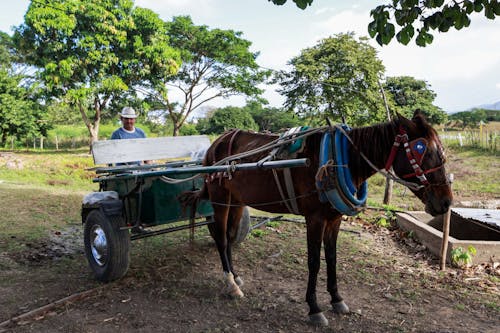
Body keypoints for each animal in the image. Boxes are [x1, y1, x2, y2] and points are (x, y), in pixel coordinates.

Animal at [181, 110, 454, 326]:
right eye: (422, 151)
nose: (446, 202)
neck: (340, 160)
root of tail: (216, 143)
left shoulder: (334, 219)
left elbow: (331, 258)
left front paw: (337, 299)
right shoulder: (314, 219)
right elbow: (314, 262)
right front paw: (314, 309)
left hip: (237, 201)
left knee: (228, 236)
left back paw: (235, 276)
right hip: (220, 197)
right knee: (220, 238)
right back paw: (230, 282)